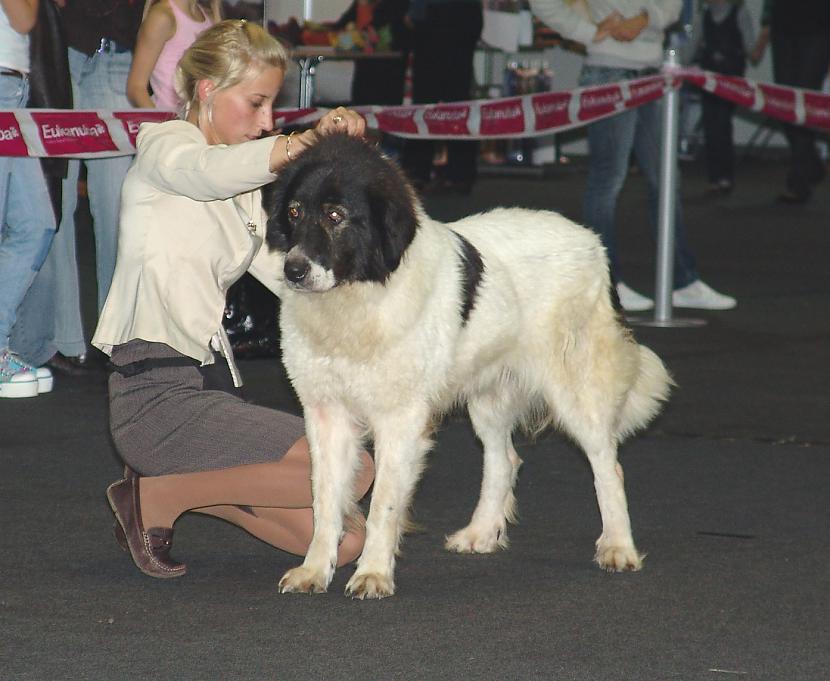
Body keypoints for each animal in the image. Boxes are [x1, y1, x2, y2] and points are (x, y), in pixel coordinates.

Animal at [266, 134, 676, 600]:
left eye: (335, 216)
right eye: (294, 212)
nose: (293, 270)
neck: (357, 298)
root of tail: (592, 242)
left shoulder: (400, 419)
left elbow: (383, 504)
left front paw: (372, 573)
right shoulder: (326, 413)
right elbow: (324, 501)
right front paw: (315, 570)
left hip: (577, 391)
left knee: (608, 465)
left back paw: (618, 546)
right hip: (489, 395)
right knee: (505, 460)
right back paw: (481, 532)